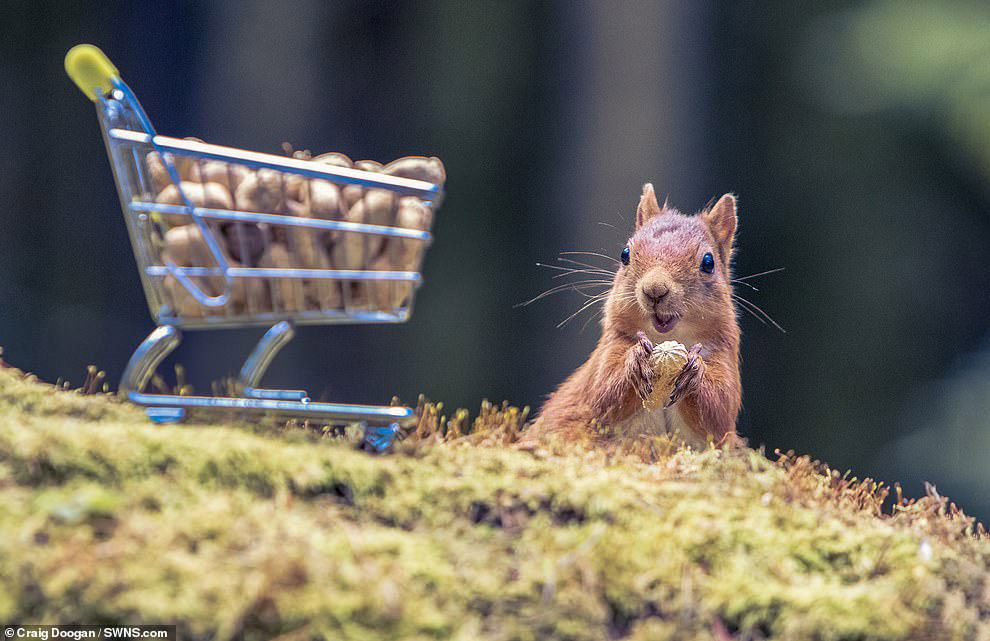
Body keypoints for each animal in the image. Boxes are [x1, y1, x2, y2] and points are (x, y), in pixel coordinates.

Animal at [532, 182, 740, 448]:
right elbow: (603, 392)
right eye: (625, 254)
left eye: (708, 262)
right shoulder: (610, 348)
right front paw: (636, 360)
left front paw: (695, 370)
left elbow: (719, 413)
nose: (655, 289)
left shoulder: (724, 356)